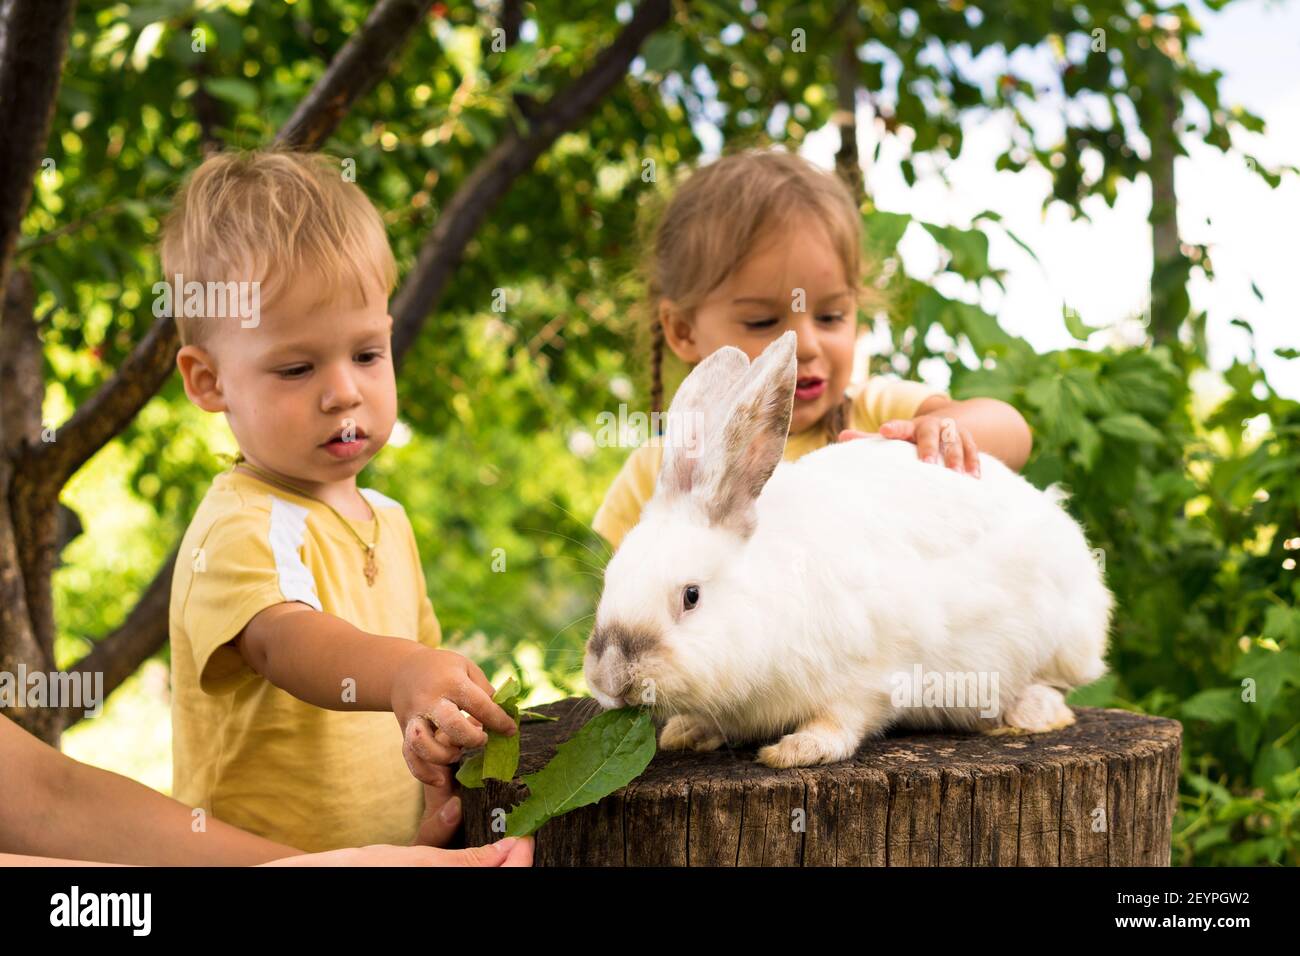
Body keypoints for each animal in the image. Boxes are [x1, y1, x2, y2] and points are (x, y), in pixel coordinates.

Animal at [585, 329, 1112, 770]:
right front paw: (687, 732)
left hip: (1059, 640)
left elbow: (844, 719)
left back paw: (1033, 711)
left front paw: (797, 750)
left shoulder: (873, 676)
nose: (610, 679)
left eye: (691, 596)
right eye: (610, 580)